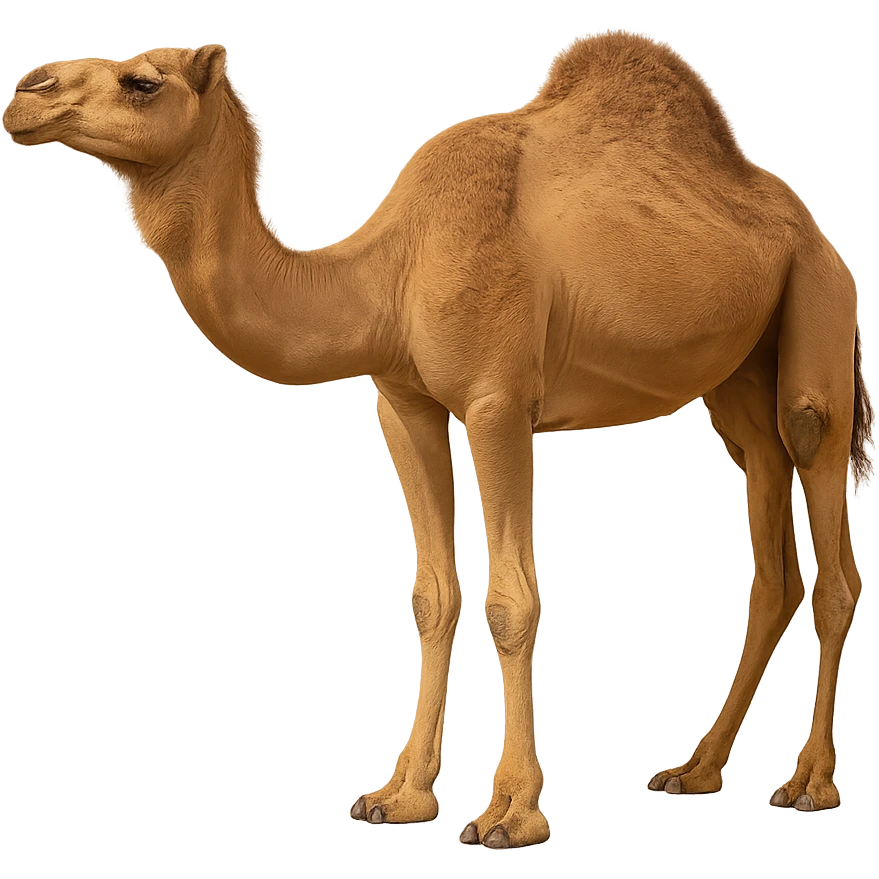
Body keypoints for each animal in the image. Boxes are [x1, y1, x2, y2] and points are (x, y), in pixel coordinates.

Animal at [4, 31, 871, 840]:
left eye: (142, 81)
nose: (24, 93)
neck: (386, 270)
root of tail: (810, 226)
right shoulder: (402, 401)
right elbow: (430, 594)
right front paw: (399, 795)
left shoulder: (497, 402)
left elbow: (512, 599)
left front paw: (510, 812)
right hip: (738, 380)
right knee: (770, 544)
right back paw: (693, 770)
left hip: (816, 314)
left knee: (827, 534)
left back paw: (809, 784)